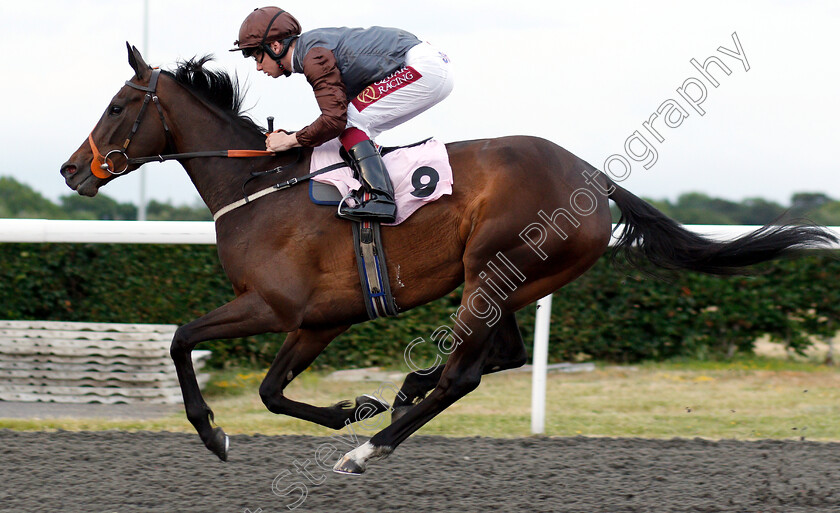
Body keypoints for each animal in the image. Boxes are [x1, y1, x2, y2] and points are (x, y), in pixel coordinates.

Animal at [60, 46, 840, 474]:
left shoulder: (275, 306)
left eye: (118, 104)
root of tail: (593, 178)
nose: (71, 170)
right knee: (500, 356)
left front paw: (216, 434)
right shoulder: (319, 320)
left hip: (493, 271)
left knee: (466, 373)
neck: (257, 185)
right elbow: (272, 390)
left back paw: (370, 448)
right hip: (510, 280)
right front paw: (353, 404)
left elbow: (181, 339)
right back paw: (405, 389)